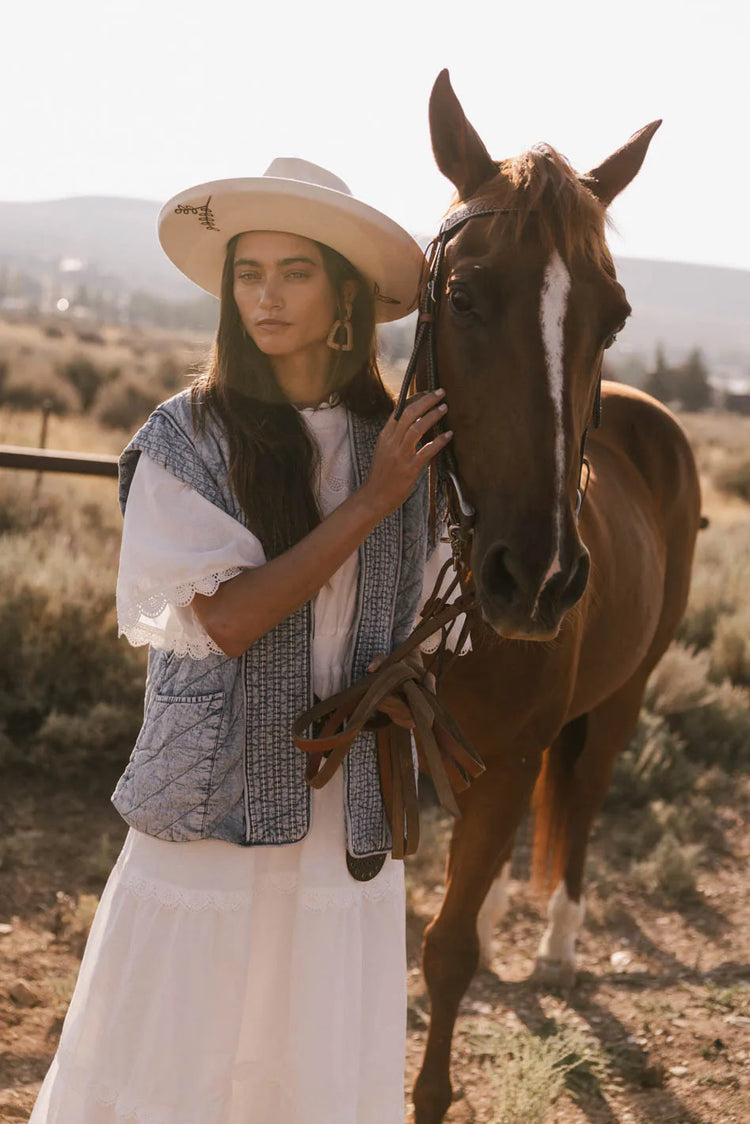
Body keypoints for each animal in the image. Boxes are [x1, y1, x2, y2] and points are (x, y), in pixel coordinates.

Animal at [411, 72, 706, 1124]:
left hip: (624, 696)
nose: (536, 576)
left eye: (613, 319)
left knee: (583, 794)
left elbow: (446, 952)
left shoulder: (509, 759)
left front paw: (428, 1094)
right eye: (462, 296)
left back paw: (556, 945)